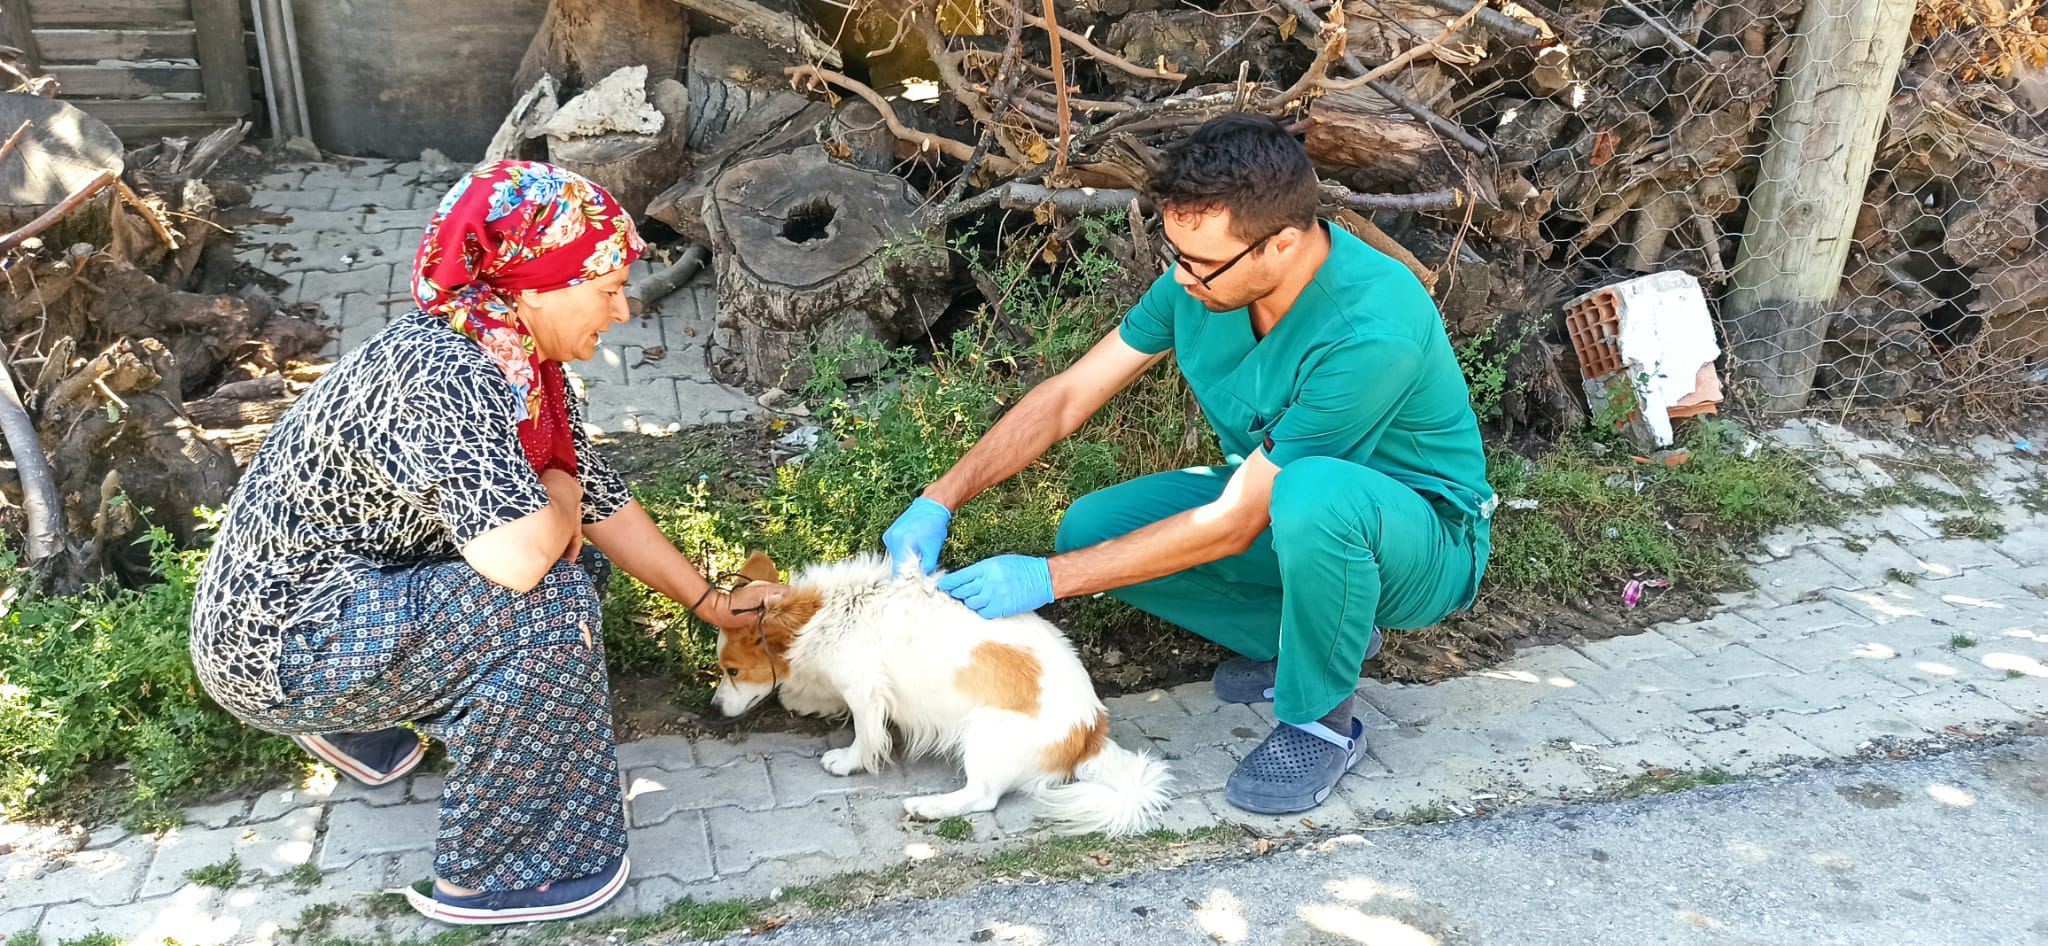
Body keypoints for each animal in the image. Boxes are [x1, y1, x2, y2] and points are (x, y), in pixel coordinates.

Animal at [716, 548, 1171, 835]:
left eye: (732, 670)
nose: (715, 708)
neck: (826, 612)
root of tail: (1089, 732)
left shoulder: (865, 692)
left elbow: (865, 737)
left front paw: (846, 761)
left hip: (983, 732)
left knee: (982, 797)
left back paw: (930, 806)